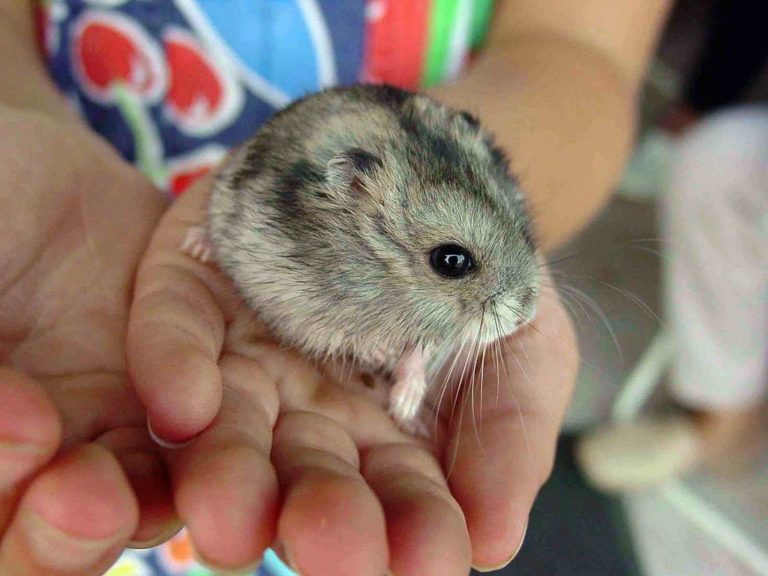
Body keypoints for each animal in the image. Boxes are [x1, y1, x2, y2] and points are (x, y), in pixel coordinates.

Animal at [182, 84, 539, 436]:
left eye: (523, 231)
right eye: (451, 261)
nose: (525, 317)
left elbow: (420, 353)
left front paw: (405, 407)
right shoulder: (295, 303)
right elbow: (348, 337)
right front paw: (382, 354)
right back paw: (196, 245)